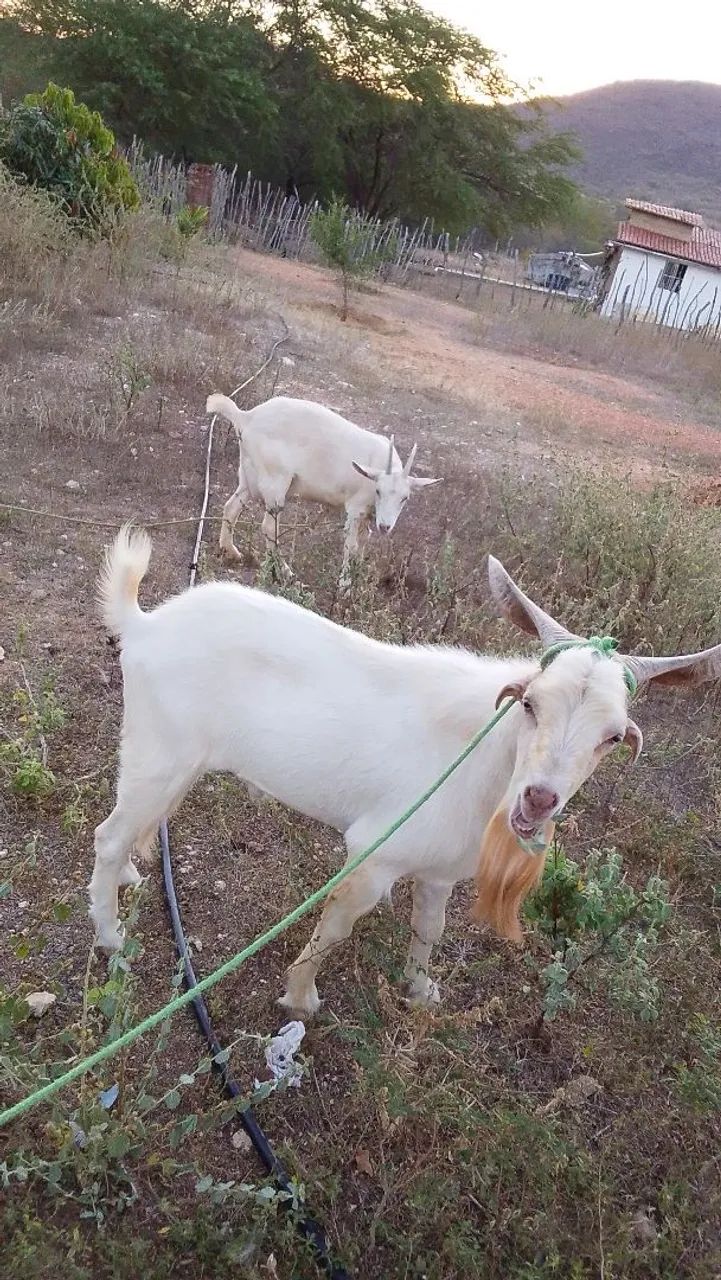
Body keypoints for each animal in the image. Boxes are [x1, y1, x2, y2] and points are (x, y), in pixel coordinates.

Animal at [89, 527, 721, 1015]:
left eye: (611, 737)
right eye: (529, 704)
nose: (539, 799)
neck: (479, 760)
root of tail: (144, 625)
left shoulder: (439, 869)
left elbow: (430, 929)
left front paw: (420, 992)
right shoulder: (374, 854)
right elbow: (336, 926)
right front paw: (300, 999)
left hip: (174, 764)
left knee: (134, 828)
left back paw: (130, 880)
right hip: (159, 752)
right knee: (108, 835)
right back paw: (111, 936)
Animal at [206, 393, 441, 589]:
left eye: (405, 498)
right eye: (378, 491)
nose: (385, 526)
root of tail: (247, 417)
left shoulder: (368, 514)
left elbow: (363, 543)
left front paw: (359, 577)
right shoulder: (355, 507)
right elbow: (351, 545)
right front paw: (345, 586)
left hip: (249, 476)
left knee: (231, 507)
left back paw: (231, 551)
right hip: (275, 480)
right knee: (269, 527)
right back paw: (285, 572)